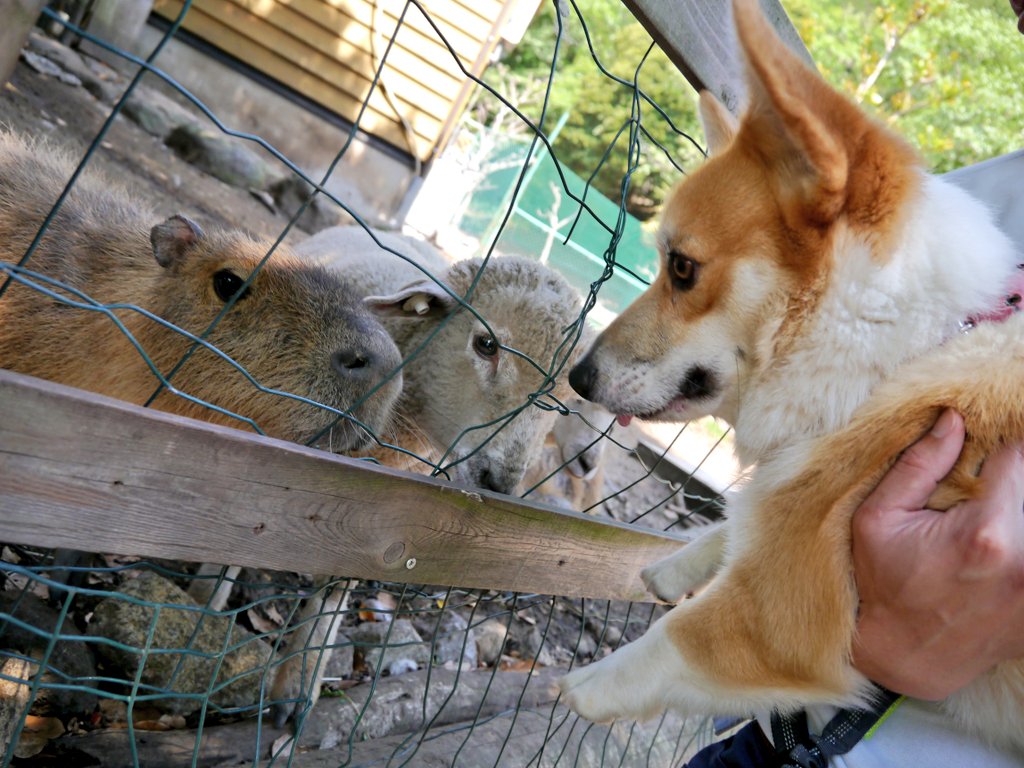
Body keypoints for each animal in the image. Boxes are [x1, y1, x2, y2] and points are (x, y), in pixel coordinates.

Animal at [561, 0, 1024, 753]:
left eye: (682, 267)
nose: (578, 377)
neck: (899, 347)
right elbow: (740, 521)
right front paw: (680, 563)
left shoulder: (782, 615)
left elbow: (677, 638)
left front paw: (582, 687)